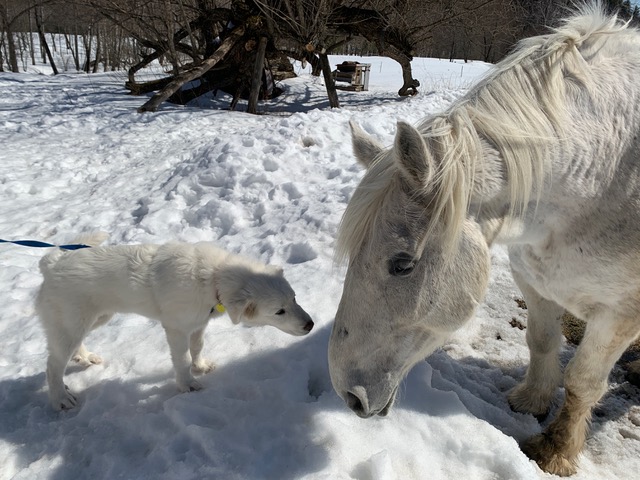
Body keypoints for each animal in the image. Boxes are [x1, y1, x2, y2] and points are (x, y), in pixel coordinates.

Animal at [36, 232, 314, 408]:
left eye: (294, 299)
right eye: (279, 311)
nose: (310, 325)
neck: (212, 277)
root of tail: (51, 265)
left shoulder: (198, 323)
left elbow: (197, 347)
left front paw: (200, 366)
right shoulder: (177, 328)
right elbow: (181, 360)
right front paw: (187, 384)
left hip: (95, 318)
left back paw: (84, 358)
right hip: (72, 324)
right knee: (53, 365)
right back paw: (60, 398)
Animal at [328, 4, 640, 476]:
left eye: (402, 264)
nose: (348, 394)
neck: (600, 174)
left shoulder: (618, 314)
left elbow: (583, 381)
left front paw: (556, 451)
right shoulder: (535, 282)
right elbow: (542, 342)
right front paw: (531, 401)